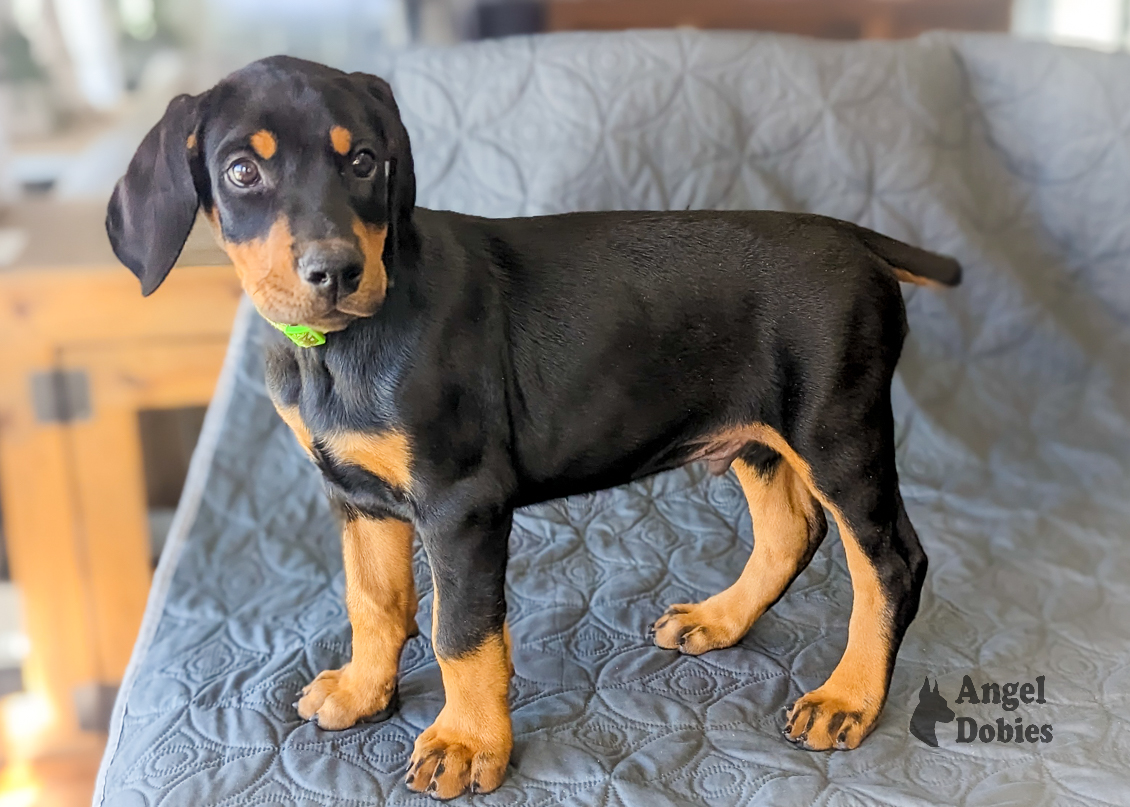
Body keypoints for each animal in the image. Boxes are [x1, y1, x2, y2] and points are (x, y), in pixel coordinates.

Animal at [107, 56, 962, 800]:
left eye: (365, 163)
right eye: (241, 171)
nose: (335, 272)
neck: (339, 352)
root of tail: (854, 236)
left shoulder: (461, 501)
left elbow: (460, 629)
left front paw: (466, 741)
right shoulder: (356, 493)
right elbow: (374, 600)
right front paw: (363, 689)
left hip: (836, 428)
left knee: (890, 562)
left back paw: (849, 697)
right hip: (758, 430)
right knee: (791, 531)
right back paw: (721, 619)